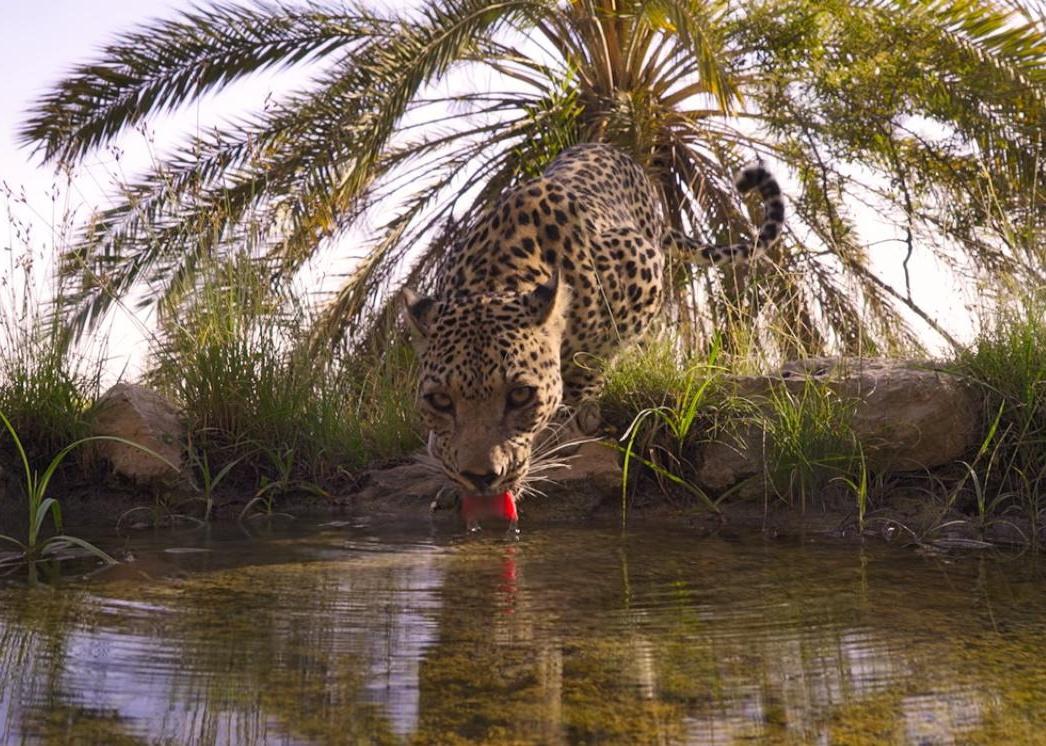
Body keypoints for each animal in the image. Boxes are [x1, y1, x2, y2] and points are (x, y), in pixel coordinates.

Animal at [399, 144, 786, 506]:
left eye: (520, 395)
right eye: (440, 401)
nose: (480, 478)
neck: (495, 275)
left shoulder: (642, 268)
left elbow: (594, 358)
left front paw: (575, 412)